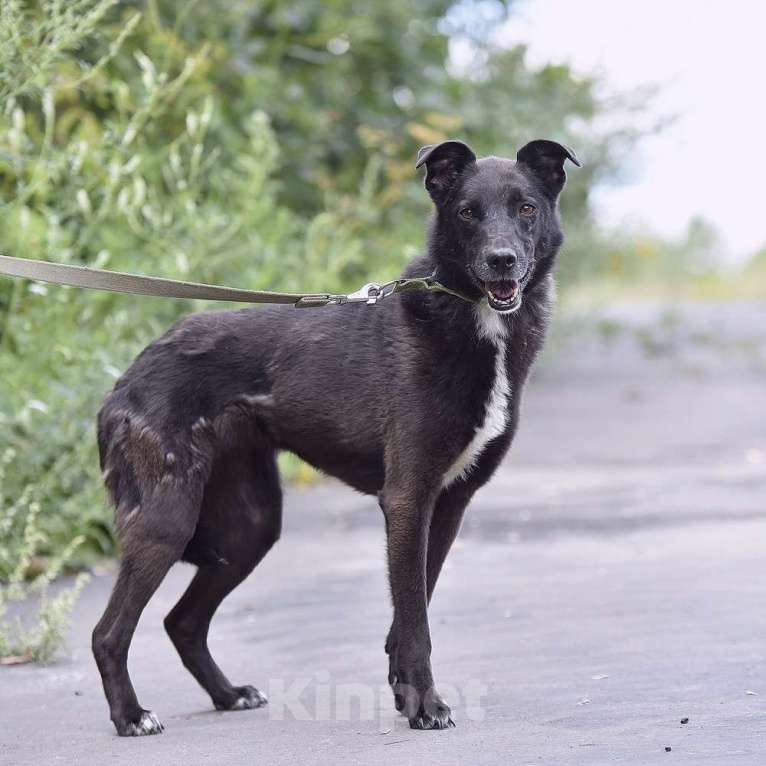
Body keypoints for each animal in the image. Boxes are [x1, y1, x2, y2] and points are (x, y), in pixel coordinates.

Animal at [93, 140, 580, 736]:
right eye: (468, 212)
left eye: (526, 208)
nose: (502, 259)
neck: (473, 320)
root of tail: (126, 377)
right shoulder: (407, 499)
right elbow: (416, 620)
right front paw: (425, 705)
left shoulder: (449, 503)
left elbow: (410, 610)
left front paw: (402, 691)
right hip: (169, 518)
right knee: (109, 633)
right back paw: (130, 716)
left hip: (249, 529)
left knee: (181, 622)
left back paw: (228, 694)